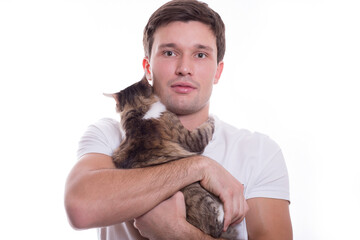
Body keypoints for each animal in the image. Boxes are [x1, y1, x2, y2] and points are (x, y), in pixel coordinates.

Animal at [109, 76, 239, 238]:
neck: (138, 111)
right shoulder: (189, 137)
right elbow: (205, 130)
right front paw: (212, 117)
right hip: (200, 195)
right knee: (217, 222)